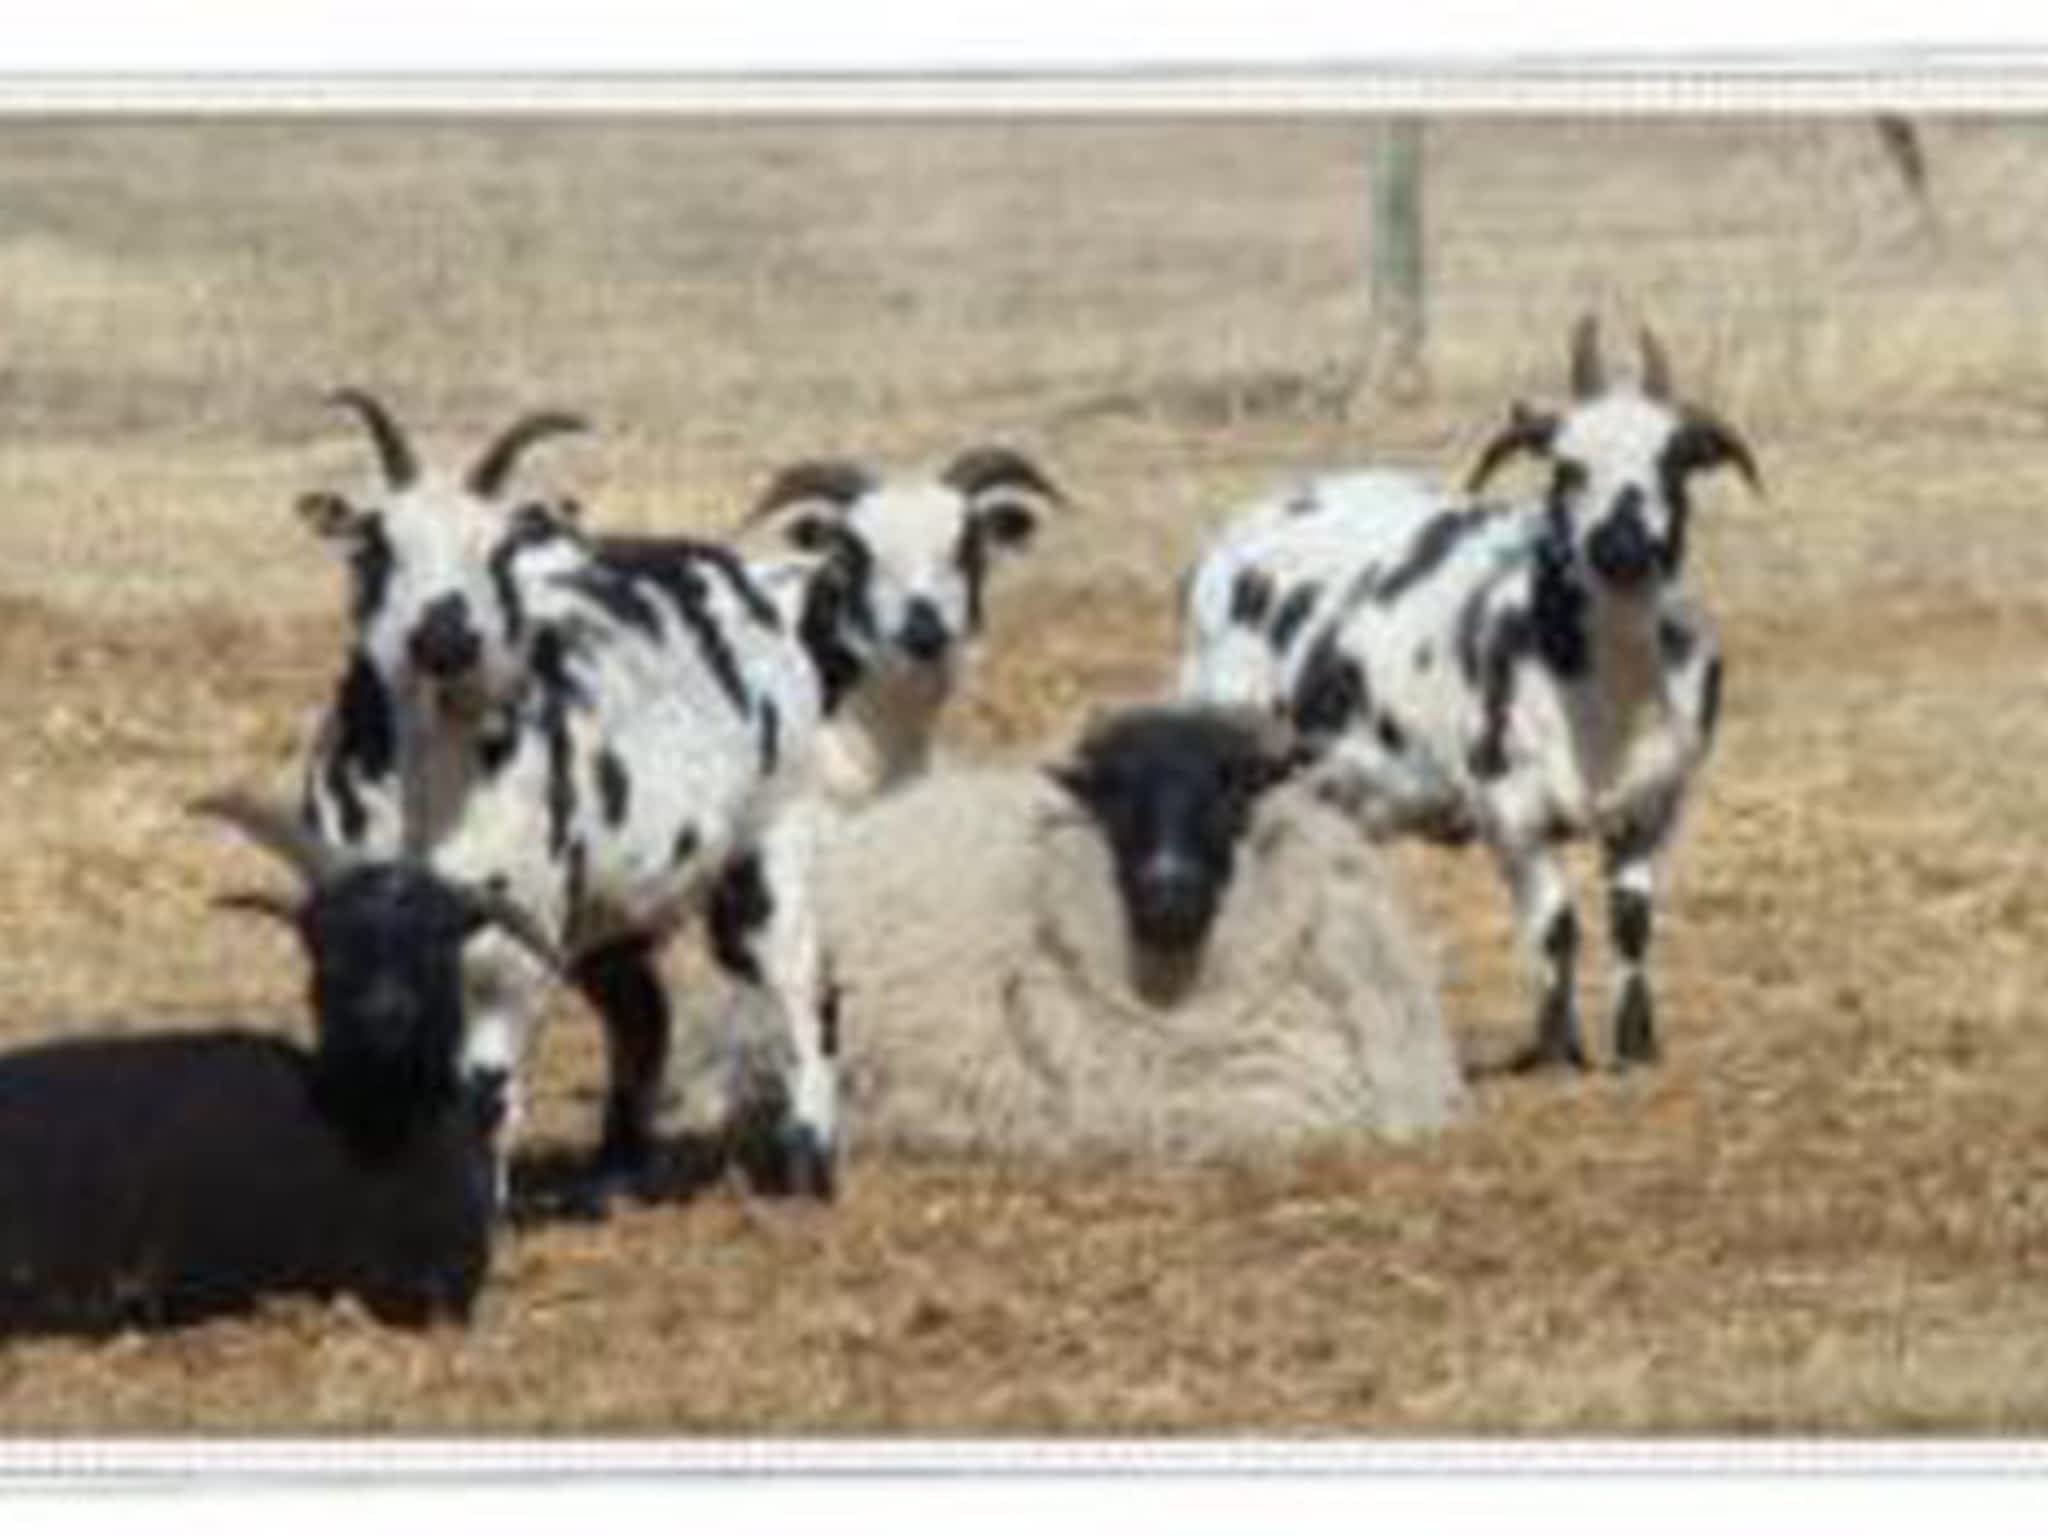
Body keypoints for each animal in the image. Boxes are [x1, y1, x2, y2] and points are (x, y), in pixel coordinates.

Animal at [1187, 319, 1761, 1073]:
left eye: (1674, 462)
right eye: (1567, 468)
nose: (1622, 548)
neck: (1602, 702)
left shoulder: (1657, 804)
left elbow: (1631, 923)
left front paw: (1636, 1045)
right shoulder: (1508, 811)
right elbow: (1557, 927)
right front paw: (1558, 1049)